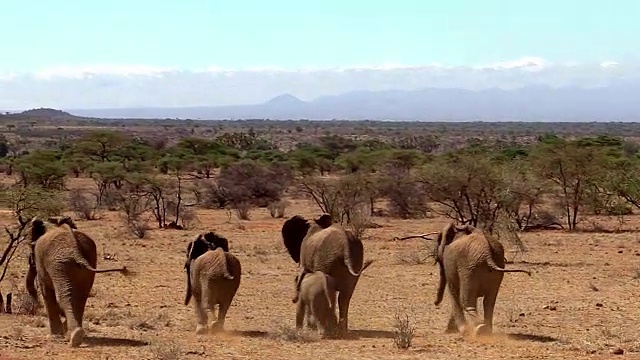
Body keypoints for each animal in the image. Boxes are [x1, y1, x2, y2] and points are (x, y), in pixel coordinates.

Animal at [25, 215, 130, 348]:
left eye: (31, 245)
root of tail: (76, 252)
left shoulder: (42, 263)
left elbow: (46, 292)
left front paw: (54, 337)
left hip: (60, 264)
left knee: (64, 296)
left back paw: (73, 337)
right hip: (87, 259)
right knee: (81, 297)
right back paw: (76, 334)